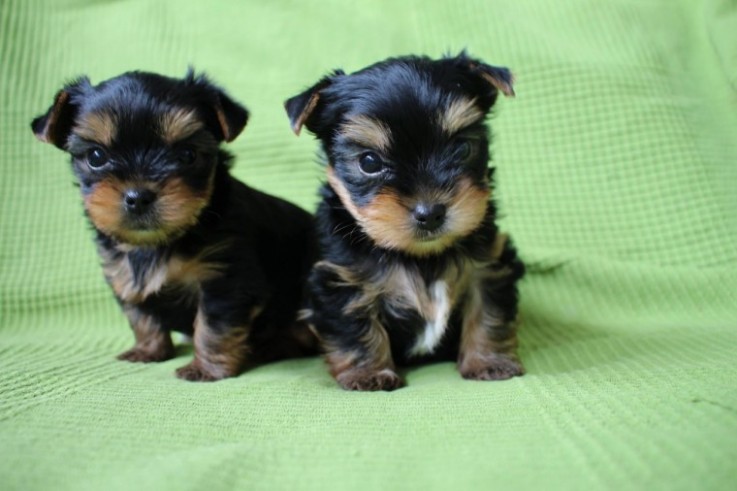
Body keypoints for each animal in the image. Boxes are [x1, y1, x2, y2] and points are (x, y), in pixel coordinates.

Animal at [32, 71, 316, 382]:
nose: (138, 196)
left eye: (187, 155)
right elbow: (141, 317)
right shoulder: (124, 276)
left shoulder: (226, 279)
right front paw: (148, 351)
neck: (157, 243)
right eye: (96, 157)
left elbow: (213, 326)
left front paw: (204, 369)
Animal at [284, 52, 528, 392]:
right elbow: (354, 329)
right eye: (369, 162)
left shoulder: (489, 266)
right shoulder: (340, 280)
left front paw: (489, 362)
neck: (421, 256)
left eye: (462, 149)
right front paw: (369, 374)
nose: (431, 212)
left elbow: (488, 313)